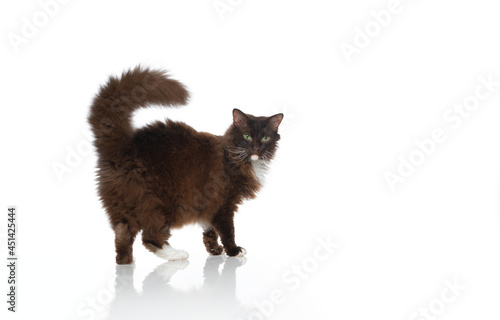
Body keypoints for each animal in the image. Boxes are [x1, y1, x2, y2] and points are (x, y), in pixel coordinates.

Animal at [88, 66, 284, 264]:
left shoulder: (207, 202)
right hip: (159, 204)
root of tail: (123, 147)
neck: (236, 157)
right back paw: (176, 255)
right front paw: (234, 251)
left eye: (265, 138)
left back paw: (126, 262)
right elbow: (227, 230)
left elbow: (209, 229)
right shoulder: (224, 202)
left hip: (126, 206)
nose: (256, 148)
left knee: (123, 235)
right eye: (247, 136)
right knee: (150, 236)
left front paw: (214, 250)